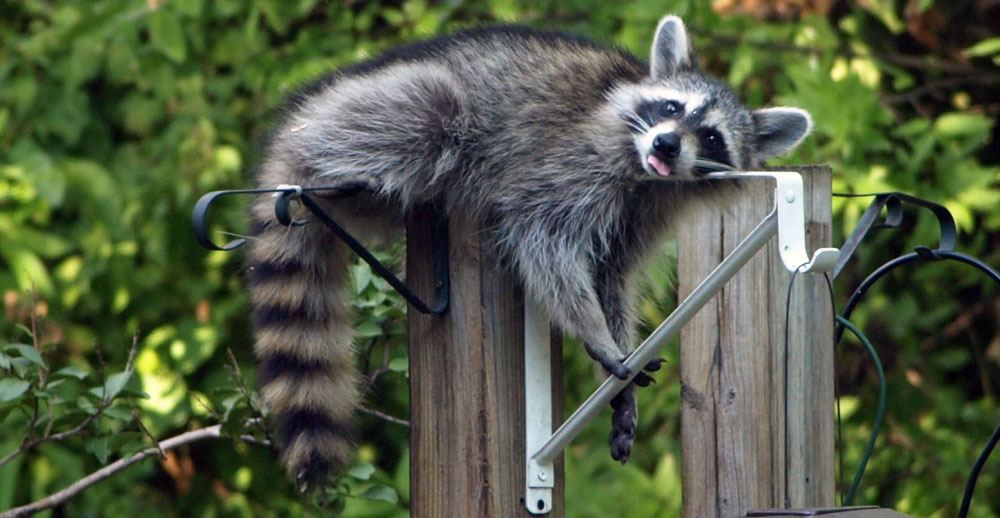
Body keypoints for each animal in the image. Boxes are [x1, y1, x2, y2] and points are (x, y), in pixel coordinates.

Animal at [248, 15, 812, 488]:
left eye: (711, 136)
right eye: (672, 107)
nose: (667, 144)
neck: (647, 176)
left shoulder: (645, 213)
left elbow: (610, 275)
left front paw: (619, 370)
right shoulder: (572, 159)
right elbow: (541, 235)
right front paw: (595, 332)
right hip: (376, 104)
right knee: (432, 108)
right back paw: (321, 162)